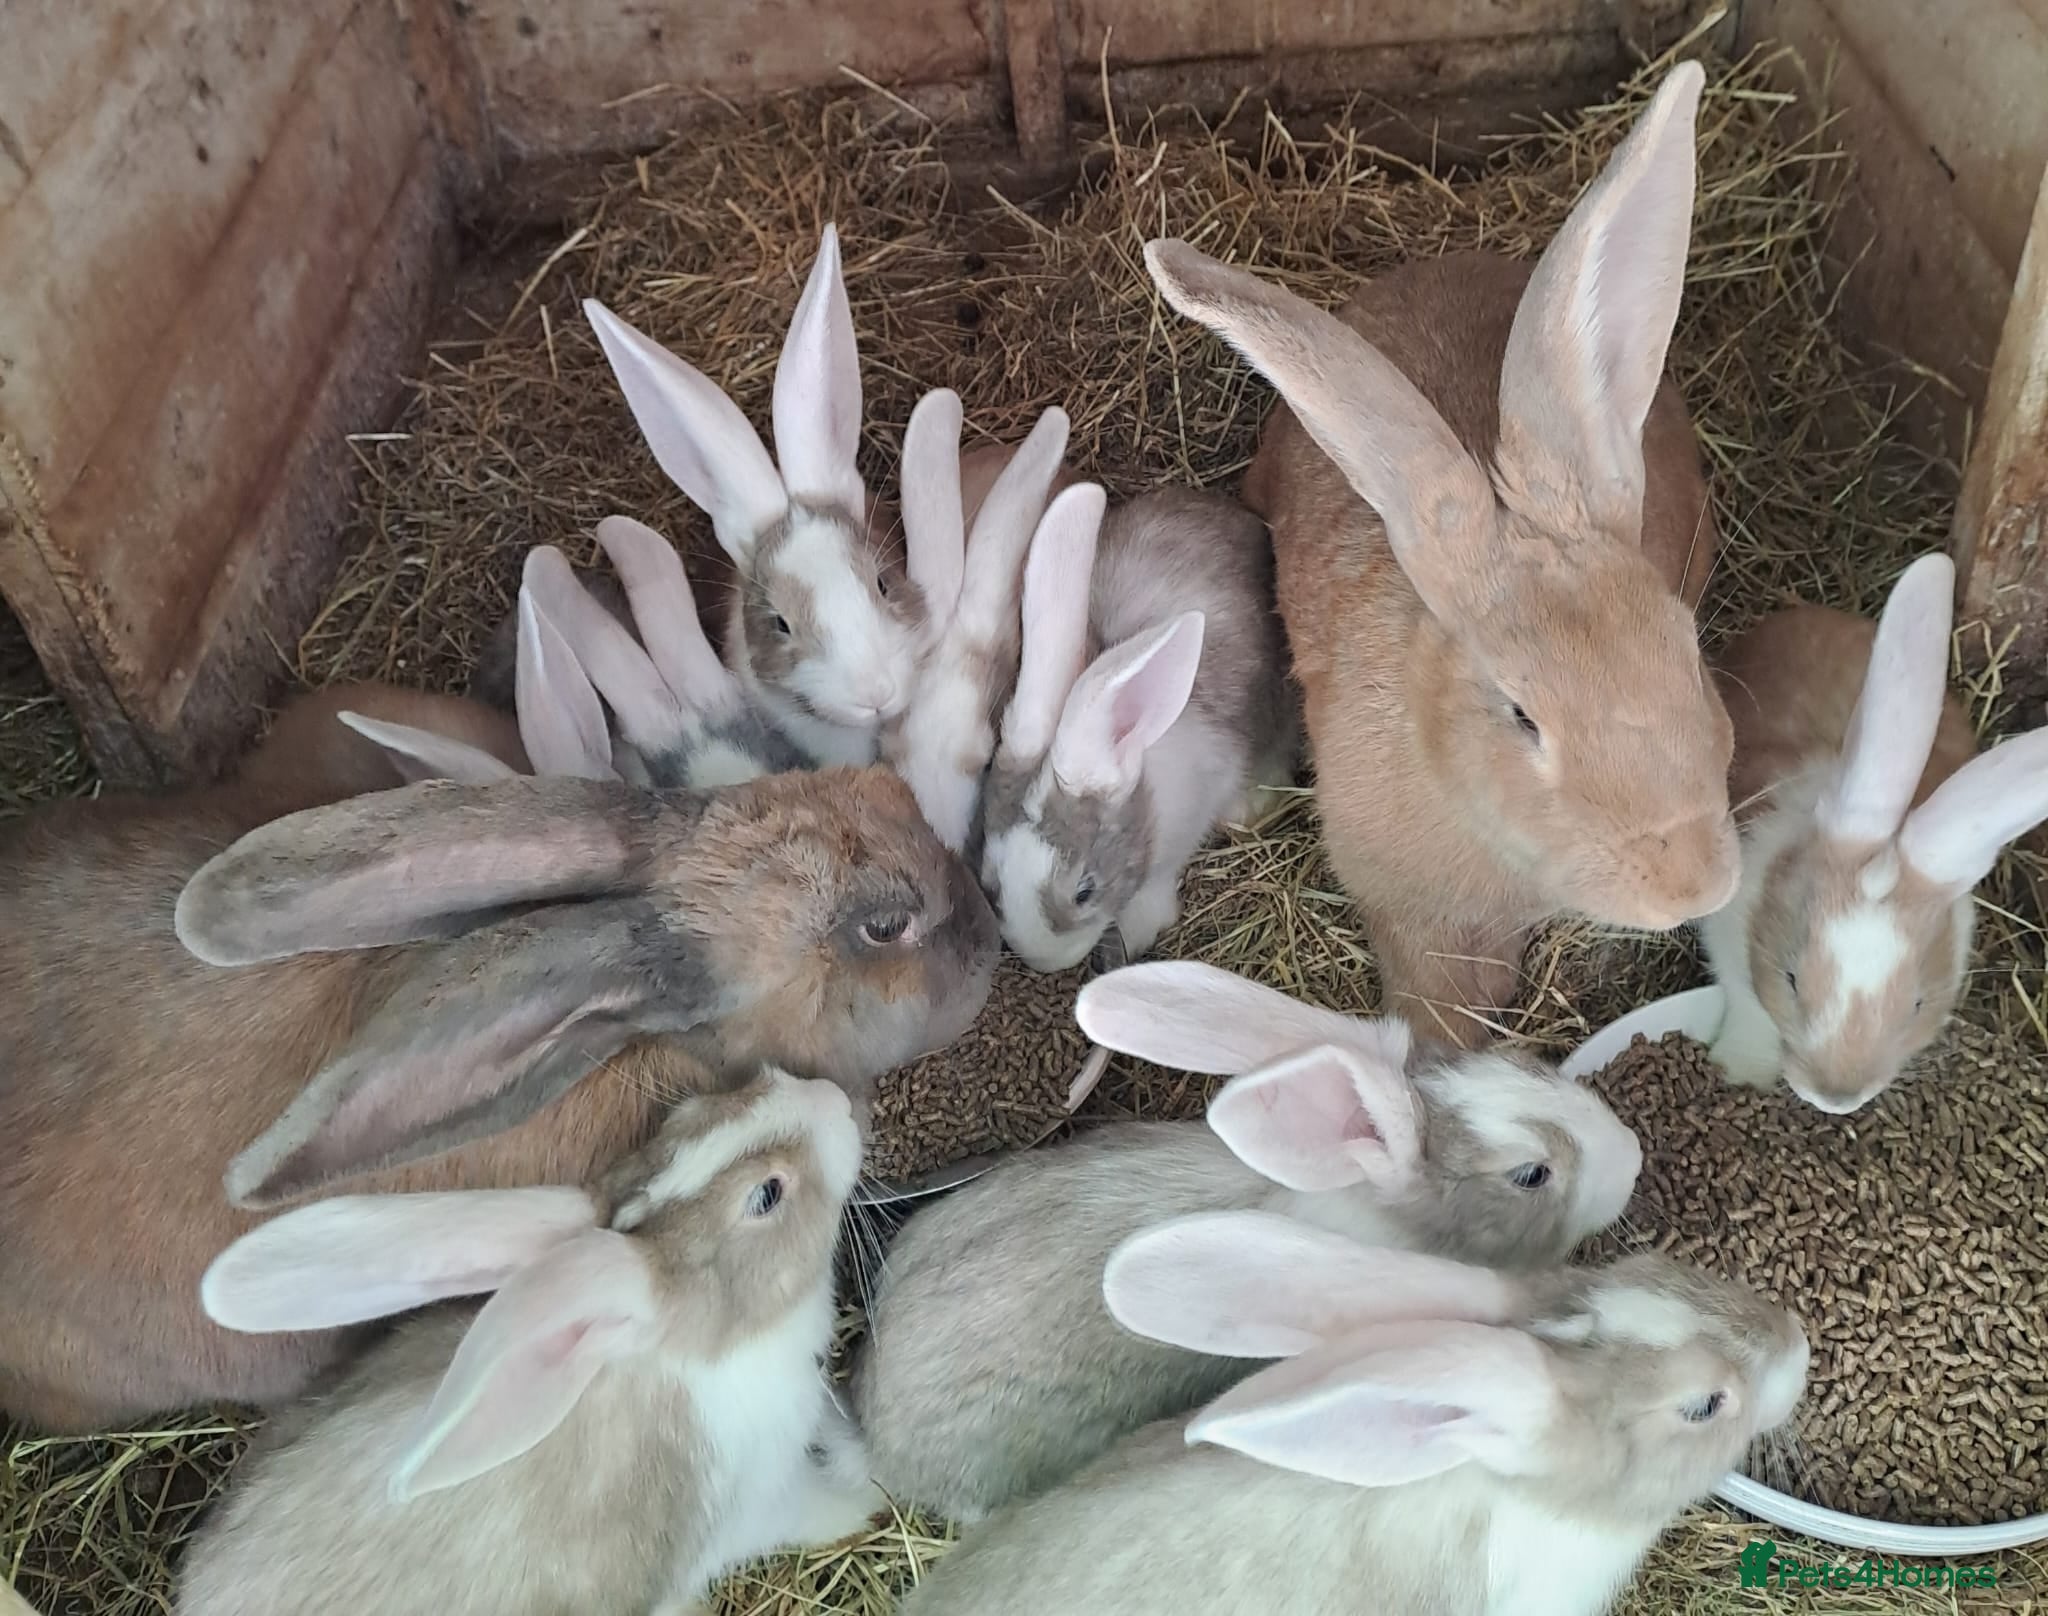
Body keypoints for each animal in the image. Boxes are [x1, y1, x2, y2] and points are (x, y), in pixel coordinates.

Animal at [176, 1065, 883, 1616]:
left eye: (688, 1111)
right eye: (767, 1195)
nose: (830, 1095)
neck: (706, 1342)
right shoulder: (758, 1507)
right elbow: (813, 1512)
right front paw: (864, 1504)